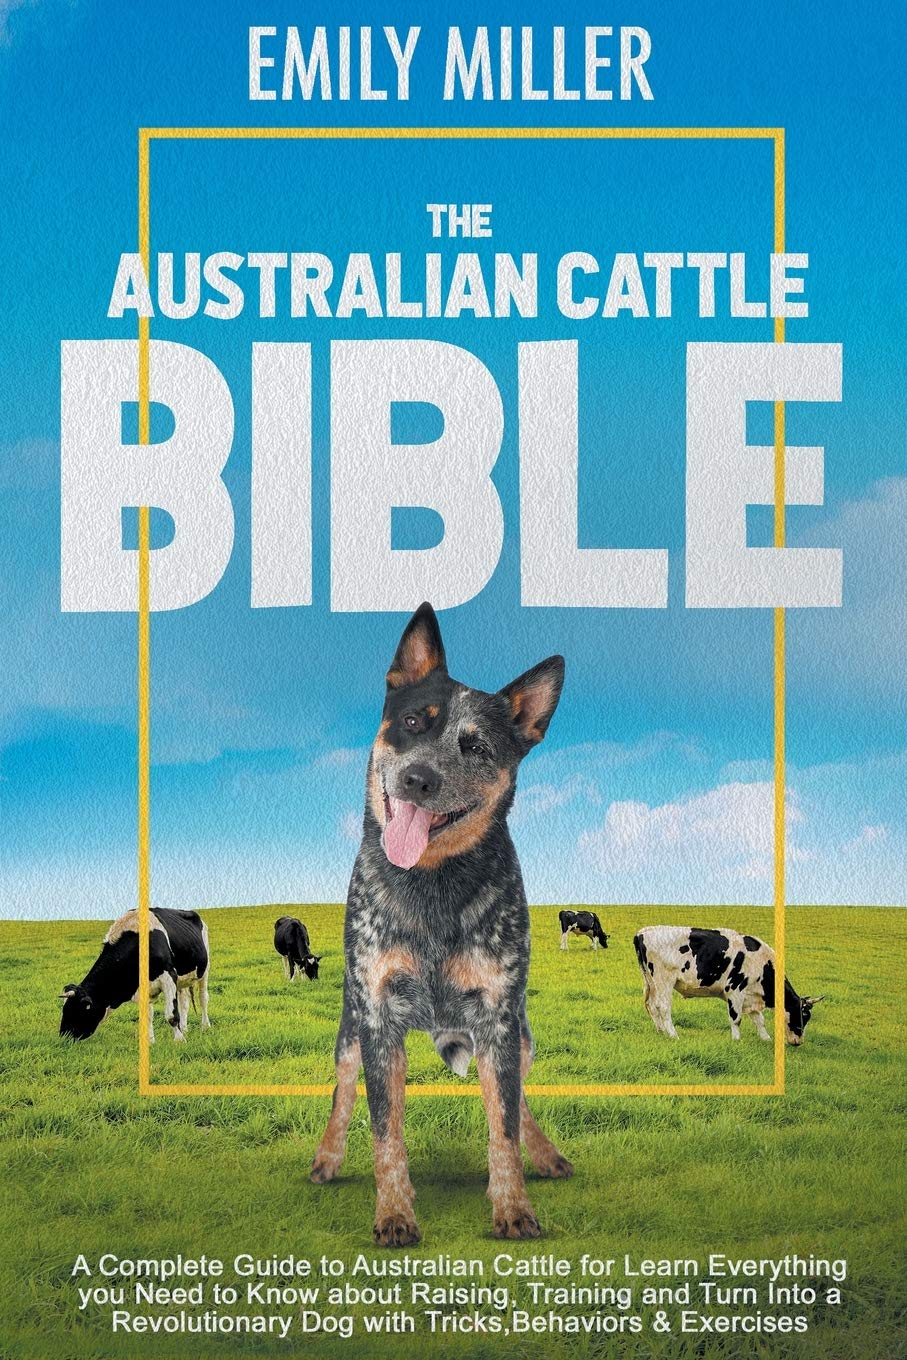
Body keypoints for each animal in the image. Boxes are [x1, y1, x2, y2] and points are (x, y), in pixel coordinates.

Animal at [60, 908, 210, 1042]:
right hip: (182, 980)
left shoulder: (169, 976)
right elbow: (148, 1016)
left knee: (203, 998)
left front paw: (179, 1041)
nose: (63, 1037)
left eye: (76, 1011)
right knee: (184, 1001)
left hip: (204, 971)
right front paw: (151, 1041)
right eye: (64, 1009)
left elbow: (171, 1015)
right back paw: (184, 1029)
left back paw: (205, 1026)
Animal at [633, 926, 824, 1044]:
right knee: (663, 1007)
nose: (798, 1042)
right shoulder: (735, 990)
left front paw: (766, 1039)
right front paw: (736, 1040)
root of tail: (643, 932)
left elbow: (759, 1020)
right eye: (804, 1015)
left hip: (650, 981)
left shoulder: (751, 997)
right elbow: (736, 1018)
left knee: (652, 1006)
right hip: (664, 979)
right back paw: (673, 1035)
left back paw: (661, 1031)